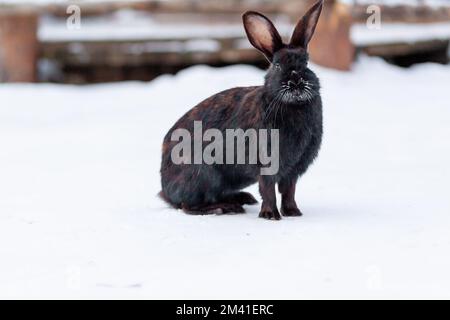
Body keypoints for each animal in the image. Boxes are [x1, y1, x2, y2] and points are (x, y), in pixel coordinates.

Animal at [160, 0, 326, 219]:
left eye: (306, 63)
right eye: (277, 65)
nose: (296, 81)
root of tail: (165, 189)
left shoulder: (293, 171)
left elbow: (288, 191)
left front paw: (293, 212)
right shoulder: (266, 164)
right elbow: (268, 190)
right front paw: (271, 216)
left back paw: (243, 199)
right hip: (203, 174)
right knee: (188, 205)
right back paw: (225, 208)